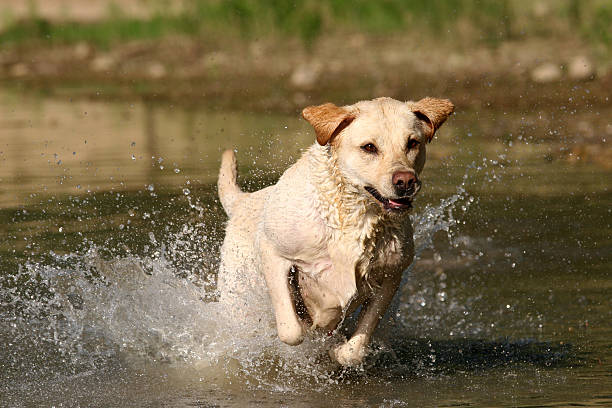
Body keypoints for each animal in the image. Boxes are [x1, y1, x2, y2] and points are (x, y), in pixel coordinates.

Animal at [218, 96, 452, 366]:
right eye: (369, 147)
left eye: (412, 143)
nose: (405, 181)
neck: (355, 215)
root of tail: (242, 201)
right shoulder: (273, 252)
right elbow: (291, 330)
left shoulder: (391, 276)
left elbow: (356, 347)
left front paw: (337, 350)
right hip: (237, 294)